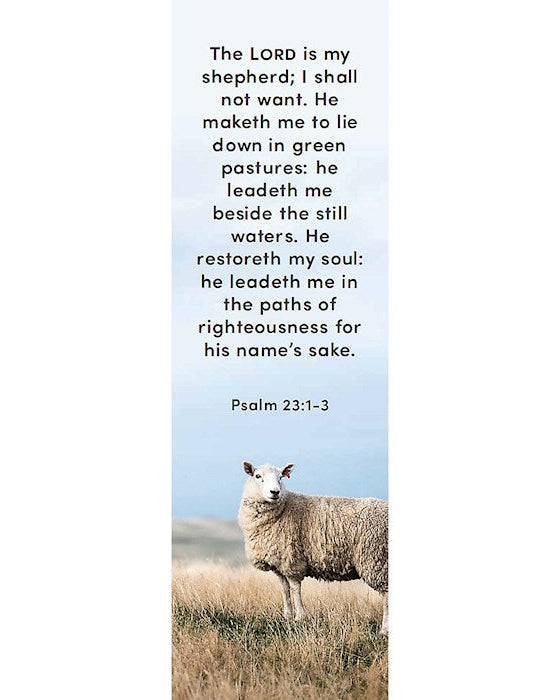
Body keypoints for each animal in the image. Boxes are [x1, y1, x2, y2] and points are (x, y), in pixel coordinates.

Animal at [238, 461, 388, 634]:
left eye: (281, 477)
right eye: (257, 476)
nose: (275, 492)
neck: (283, 508)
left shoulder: (293, 561)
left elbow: (295, 589)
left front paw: (299, 617)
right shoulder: (280, 564)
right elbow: (285, 590)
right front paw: (287, 616)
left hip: (377, 560)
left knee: (386, 596)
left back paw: (384, 630)